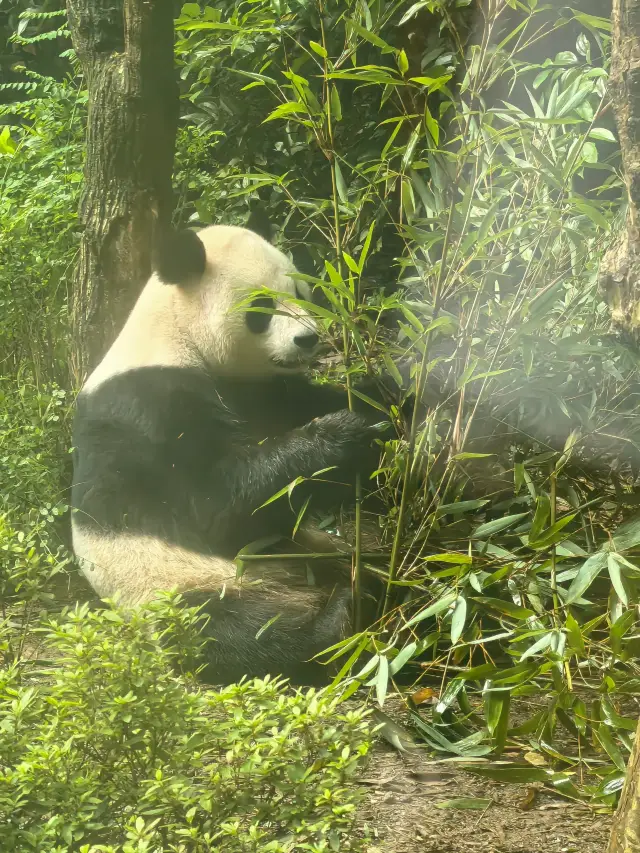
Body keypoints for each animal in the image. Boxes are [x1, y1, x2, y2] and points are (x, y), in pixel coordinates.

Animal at [71, 220, 393, 686]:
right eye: (262, 306)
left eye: (304, 292)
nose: (308, 339)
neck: (177, 333)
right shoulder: (146, 403)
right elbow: (213, 507)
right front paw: (343, 437)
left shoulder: (263, 392)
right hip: (177, 585)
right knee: (234, 630)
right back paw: (340, 617)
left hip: (303, 551)